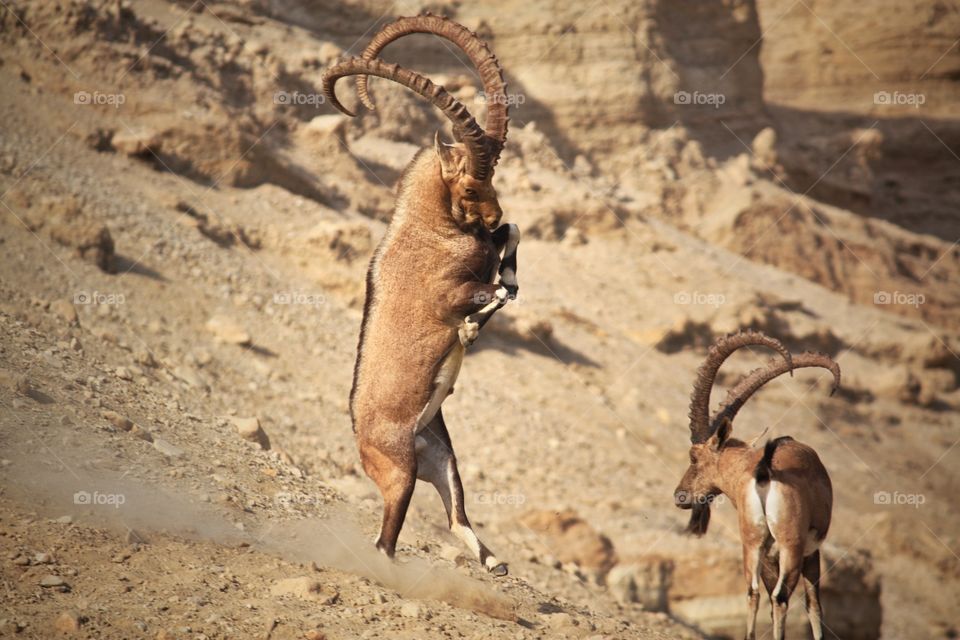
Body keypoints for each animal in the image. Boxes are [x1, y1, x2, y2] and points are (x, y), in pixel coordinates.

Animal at [322, 15, 519, 576]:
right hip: (401, 471)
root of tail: (362, 442)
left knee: (456, 516)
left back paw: (494, 563)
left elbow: (512, 244)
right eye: (471, 187)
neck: (429, 230)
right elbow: (488, 293)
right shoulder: (449, 295)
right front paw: (473, 328)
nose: (492, 214)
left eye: (492, 179)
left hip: (442, 457)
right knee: (384, 540)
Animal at [672, 331, 840, 640]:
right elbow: (814, 606)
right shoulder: (810, 552)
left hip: (753, 543)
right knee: (780, 598)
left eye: (693, 457)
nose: (681, 496)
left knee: (754, 594)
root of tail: (764, 472)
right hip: (790, 547)